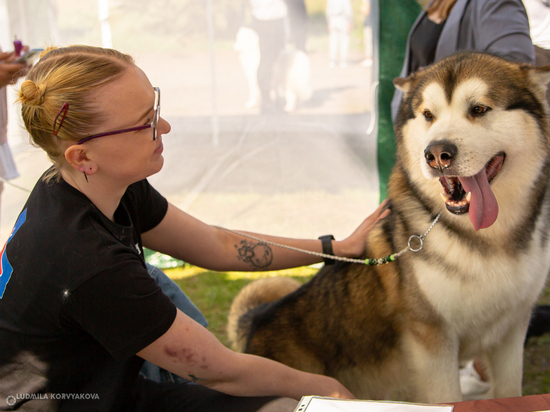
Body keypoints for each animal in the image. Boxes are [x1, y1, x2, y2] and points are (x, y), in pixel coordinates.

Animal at [226, 50, 550, 402]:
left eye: (478, 109)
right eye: (428, 115)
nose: (437, 154)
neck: (489, 241)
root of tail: (257, 321)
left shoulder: (512, 330)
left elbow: (510, 389)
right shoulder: (433, 341)